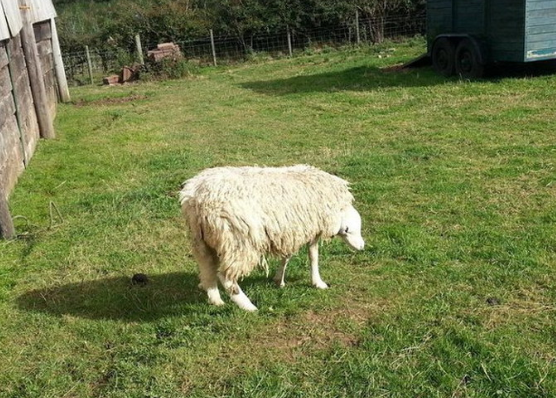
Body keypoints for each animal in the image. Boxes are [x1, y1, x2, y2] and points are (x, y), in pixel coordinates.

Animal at [180, 165, 368, 310]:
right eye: (350, 230)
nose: (362, 247)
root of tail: (197, 199)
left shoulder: (290, 231)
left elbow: (288, 256)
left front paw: (279, 279)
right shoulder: (310, 227)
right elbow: (313, 256)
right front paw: (318, 282)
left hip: (202, 242)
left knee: (207, 269)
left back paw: (215, 298)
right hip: (239, 242)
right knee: (226, 277)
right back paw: (248, 306)